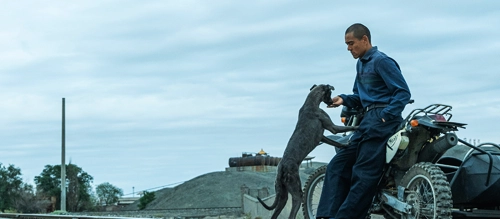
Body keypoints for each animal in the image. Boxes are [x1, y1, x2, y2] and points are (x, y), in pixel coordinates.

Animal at [256, 84, 358, 219]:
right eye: (330, 93)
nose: (332, 101)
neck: (310, 103)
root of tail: (282, 167)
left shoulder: (322, 137)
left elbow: (335, 142)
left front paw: (345, 145)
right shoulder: (333, 128)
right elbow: (348, 127)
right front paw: (358, 127)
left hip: (282, 194)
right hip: (297, 192)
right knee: (292, 214)